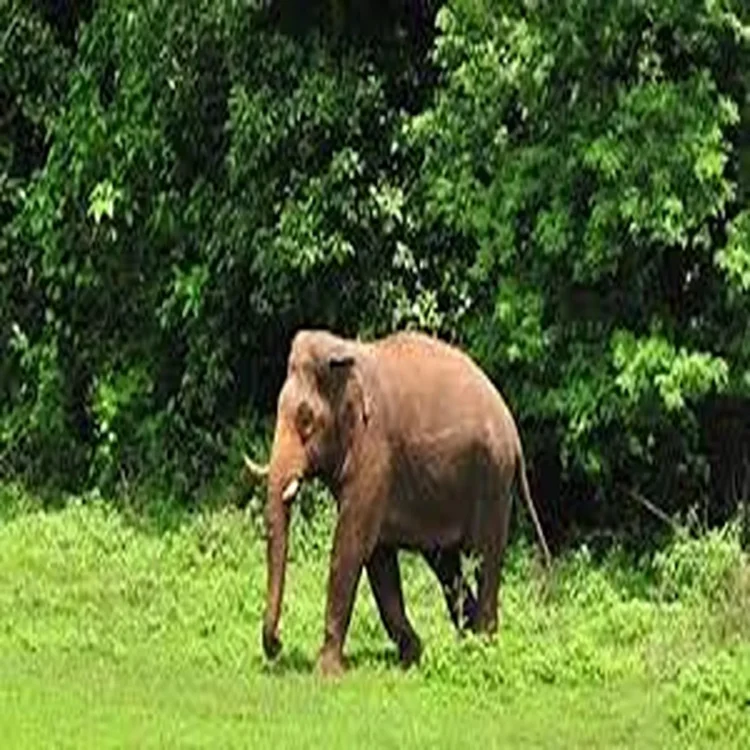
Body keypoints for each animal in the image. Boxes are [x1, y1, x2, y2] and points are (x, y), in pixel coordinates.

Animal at [244, 328, 550, 677]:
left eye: (306, 420)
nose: (278, 645)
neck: (345, 351)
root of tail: (515, 435)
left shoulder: (375, 451)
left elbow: (352, 545)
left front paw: (326, 673)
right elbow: (378, 557)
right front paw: (412, 656)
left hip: (493, 480)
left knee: (484, 558)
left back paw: (482, 648)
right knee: (447, 565)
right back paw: (466, 640)